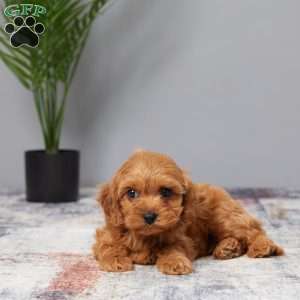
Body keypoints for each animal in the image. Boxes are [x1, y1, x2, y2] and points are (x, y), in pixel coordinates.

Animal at [92, 150, 284, 274]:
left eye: (166, 192)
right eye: (131, 193)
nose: (149, 216)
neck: (145, 236)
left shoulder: (182, 238)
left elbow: (172, 247)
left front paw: (174, 261)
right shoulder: (107, 234)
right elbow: (108, 246)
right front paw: (115, 260)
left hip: (225, 216)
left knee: (254, 232)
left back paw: (262, 247)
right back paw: (228, 247)